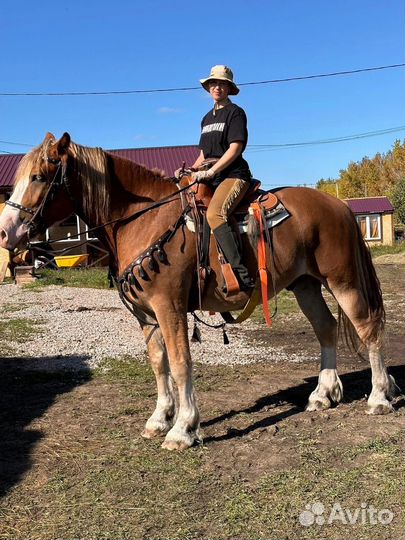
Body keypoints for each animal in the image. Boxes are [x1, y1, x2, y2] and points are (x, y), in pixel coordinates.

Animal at [0, 133, 398, 450]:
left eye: (39, 176)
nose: (5, 232)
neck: (146, 219)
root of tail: (339, 206)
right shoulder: (146, 315)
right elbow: (158, 363)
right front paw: (159, 419)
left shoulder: (169, 306)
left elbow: (180, 363)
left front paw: (183, 428)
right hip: (306, 285)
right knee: (326, 329)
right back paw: (322, 395)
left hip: (342, 280)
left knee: (368, 329)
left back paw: (379, 397)